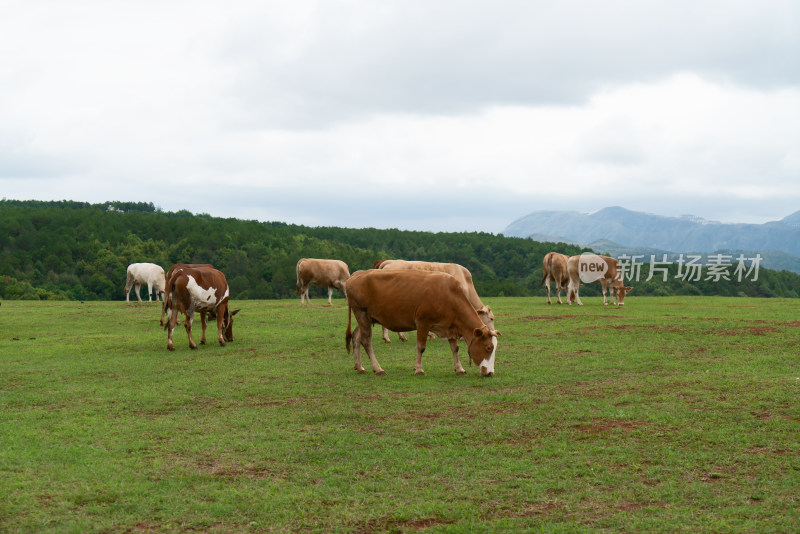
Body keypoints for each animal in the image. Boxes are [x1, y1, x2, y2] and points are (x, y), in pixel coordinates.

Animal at [344, 270, 500, 378]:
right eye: (488, 348)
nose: (490, 373)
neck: (449, 296)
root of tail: (357, 274)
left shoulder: (450, 326)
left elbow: (455, 348)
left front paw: (459, 368)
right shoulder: (423, 322)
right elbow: (421, 347)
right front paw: (419, 369)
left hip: (366, 317)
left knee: (356, 338)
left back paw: (360, 367)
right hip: (361, 313)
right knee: (366, 341)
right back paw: (378, 368)